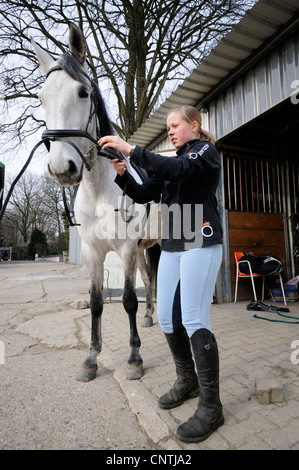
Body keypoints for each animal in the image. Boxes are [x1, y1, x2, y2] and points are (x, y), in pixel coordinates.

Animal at [32, 23, 162, 380]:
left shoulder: (126, 248)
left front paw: (134, 359)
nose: (62, 168)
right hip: (144, 248)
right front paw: (91, 358)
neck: (100, 189)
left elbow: (128, 300)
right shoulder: (94, 252)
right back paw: (150, 318)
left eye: (82, 92)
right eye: (41, 98)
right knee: (149, 278)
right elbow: (96, 301)